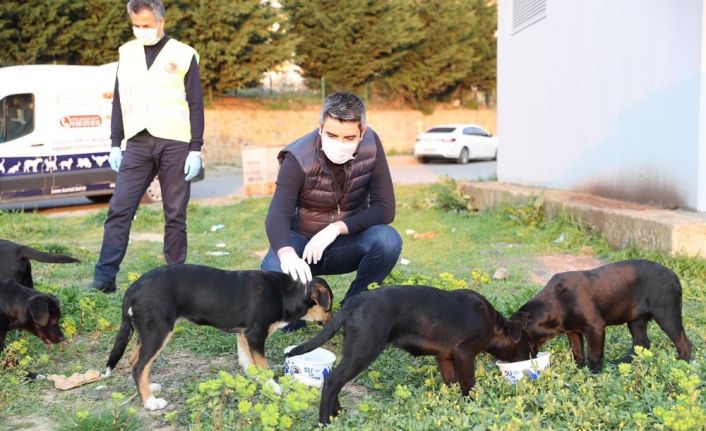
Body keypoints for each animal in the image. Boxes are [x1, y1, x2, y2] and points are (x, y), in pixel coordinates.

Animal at [104, 264, 332, 412]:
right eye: (328, 306)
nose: (333, 322)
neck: (286, 293)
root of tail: (134, 287)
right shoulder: (256, 334)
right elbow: (263, 365)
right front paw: (273, 386)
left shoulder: (244, 334)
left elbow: (249, 363)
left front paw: (256, 381)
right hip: (158, 331)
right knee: (139, 366)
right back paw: (151, 402)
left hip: (145, 332)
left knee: (134, 361)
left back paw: (148, 388)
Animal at [284, 286, 532, 424]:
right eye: (528, 345)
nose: (532, 357)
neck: (493, 323)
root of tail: (355, 300)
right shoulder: (465, 353)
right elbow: (469, 386)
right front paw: (472, 405)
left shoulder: (445, 357)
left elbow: (451, 383)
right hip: (364, 350)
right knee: (332, 382)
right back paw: (325, 422)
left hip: (354, 351)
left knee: (335, 381)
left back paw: (338, 414)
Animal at [508, 260, 692, 374]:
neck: (557, 303)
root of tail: (675, 276)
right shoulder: (573, 331)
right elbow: (577, 351)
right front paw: (578, 368)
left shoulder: (594, 328)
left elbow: (594, 354)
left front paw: (593, 373)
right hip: (635, 320)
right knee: (641, 343)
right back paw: (623, 362)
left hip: (666, 314)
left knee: (683, 341)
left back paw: (683, 362)